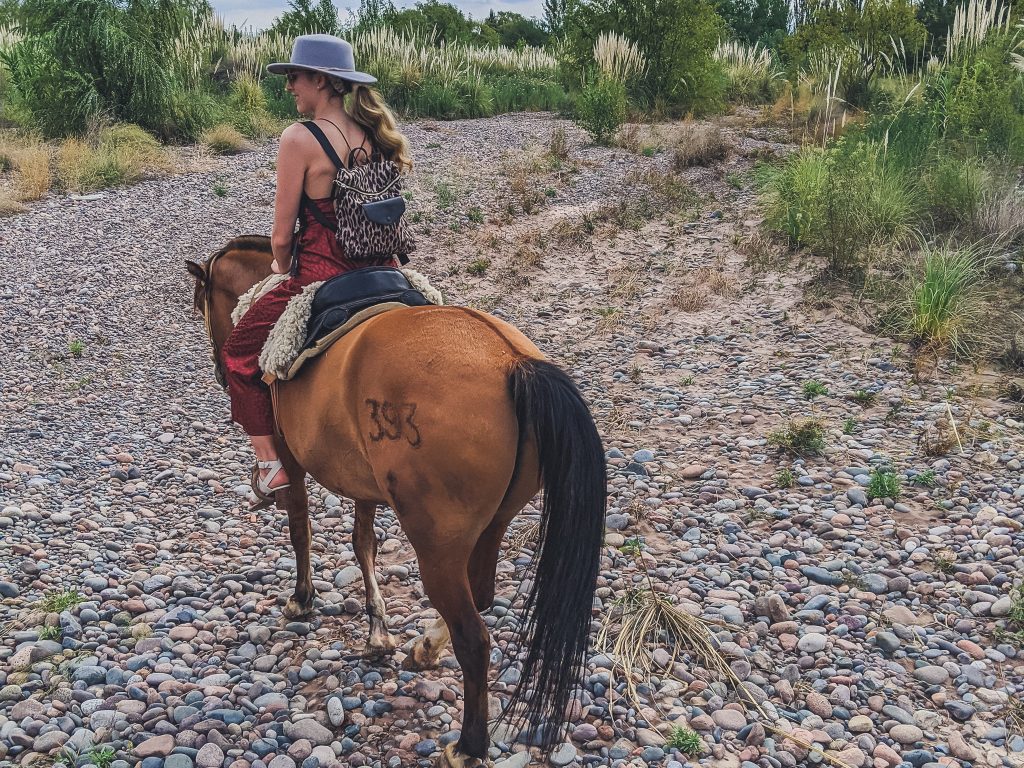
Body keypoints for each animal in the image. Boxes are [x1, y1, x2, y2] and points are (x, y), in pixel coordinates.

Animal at [187, 236, 606, 768]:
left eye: (202, 304)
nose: (221, 370)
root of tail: (513, 362)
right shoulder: (365, 487)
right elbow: (363, 543)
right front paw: (378, 631)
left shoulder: (289, 457)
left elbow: (300, 527)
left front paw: (302, 598)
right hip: (494, 523)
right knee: (482, 596)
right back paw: (424, 648)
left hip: (436, 544)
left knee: (474, 637)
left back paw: (467, 746)